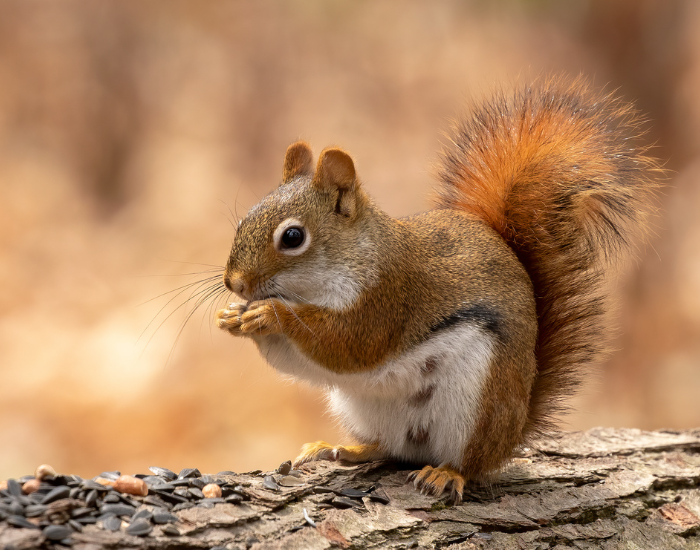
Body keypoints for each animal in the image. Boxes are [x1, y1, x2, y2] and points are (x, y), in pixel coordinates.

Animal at [215, 77, 659, 503]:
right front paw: (233, 317)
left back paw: (446, 474)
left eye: (292, 237)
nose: (234, 283)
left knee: (471, 463)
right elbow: (298, 361)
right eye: (242, 221)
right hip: (362, 407)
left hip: (478, 400)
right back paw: (342, 449)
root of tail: (514, 430)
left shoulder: (389, 298)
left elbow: (346, 344)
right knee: (389, 447)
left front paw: (269, 313)